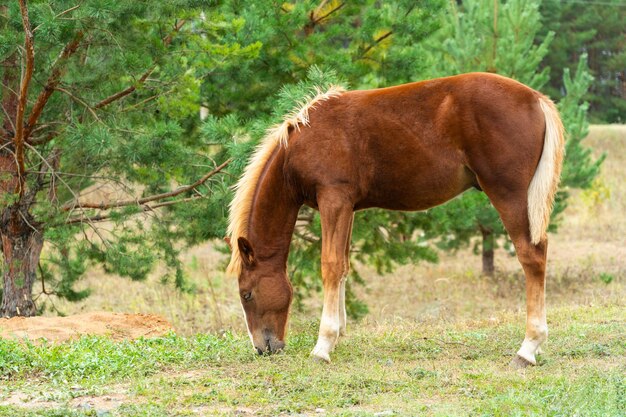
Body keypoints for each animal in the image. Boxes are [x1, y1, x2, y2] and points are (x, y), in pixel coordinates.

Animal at [227, 73, 564, 366]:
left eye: (247, 293)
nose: (263, 347)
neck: (300, 144)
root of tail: (535, 99)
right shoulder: (347, 206)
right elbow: (343, 265)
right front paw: (340, 334)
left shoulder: (333, 199)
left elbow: (330, 265)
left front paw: (323, 345)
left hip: (508, 194)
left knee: (531, 255)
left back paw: (528, 348)